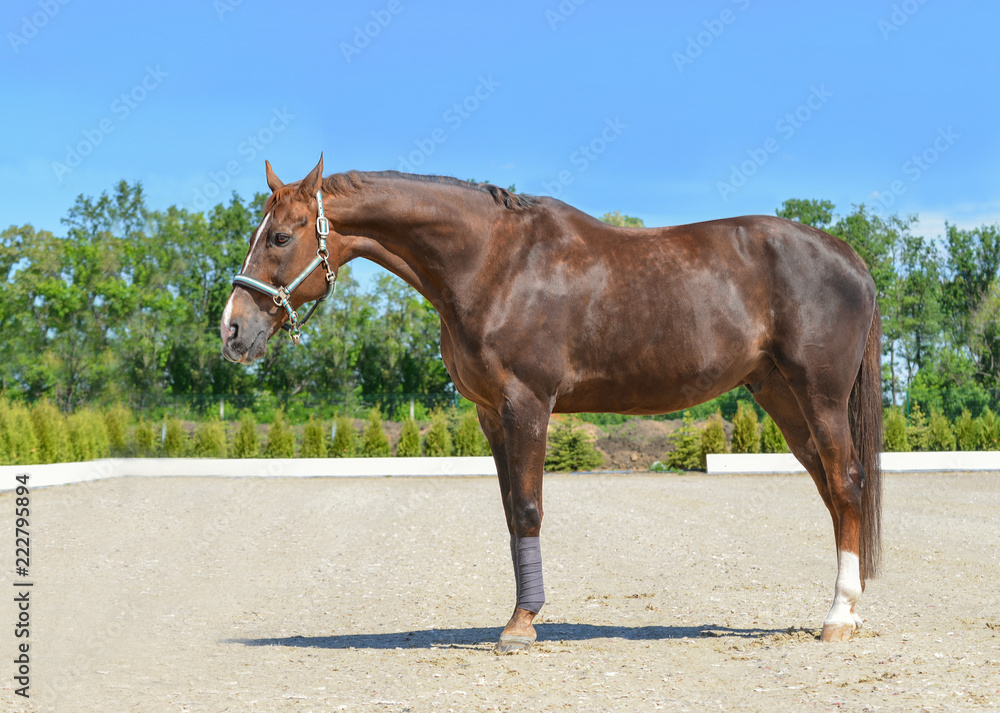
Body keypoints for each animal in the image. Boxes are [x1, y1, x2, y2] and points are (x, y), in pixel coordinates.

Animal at [220, 155, 883, 652]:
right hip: (780, 396)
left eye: (280, 236)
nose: (232, 330)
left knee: (847, 483)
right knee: (832, 492)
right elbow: (511, 513)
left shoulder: (527, 403)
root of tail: (848, 256)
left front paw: (521, 626)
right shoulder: (491, 414)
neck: (493, 261)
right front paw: (518, 615)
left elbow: (530, 508)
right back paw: (845, 608)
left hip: (819, 395)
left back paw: (838, 618)